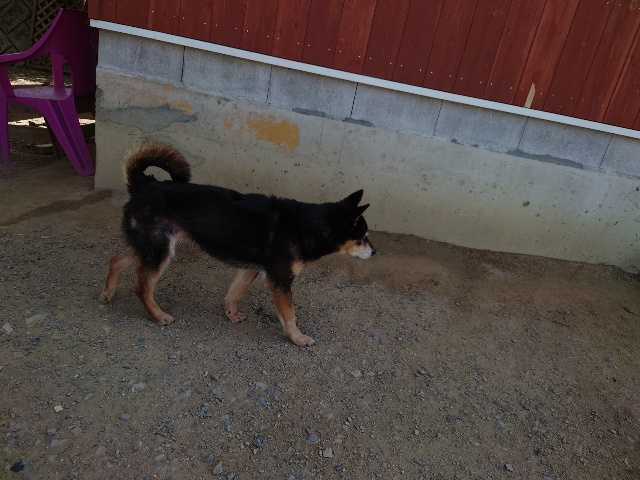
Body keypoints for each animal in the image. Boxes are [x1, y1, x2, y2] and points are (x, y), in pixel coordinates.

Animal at [100, 142, 376, 346]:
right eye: (362, 237)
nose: (375, 251)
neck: (306, 225)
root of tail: (145, 184)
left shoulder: (249, 268)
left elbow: (234, 293)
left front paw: (231, 314)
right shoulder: (280, 281)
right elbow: (289, 316)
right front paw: (297, 338)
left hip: (153, 247)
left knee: (117, 260)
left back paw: (109, 292)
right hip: (160, 250)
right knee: (142, 287)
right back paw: (158, 316)